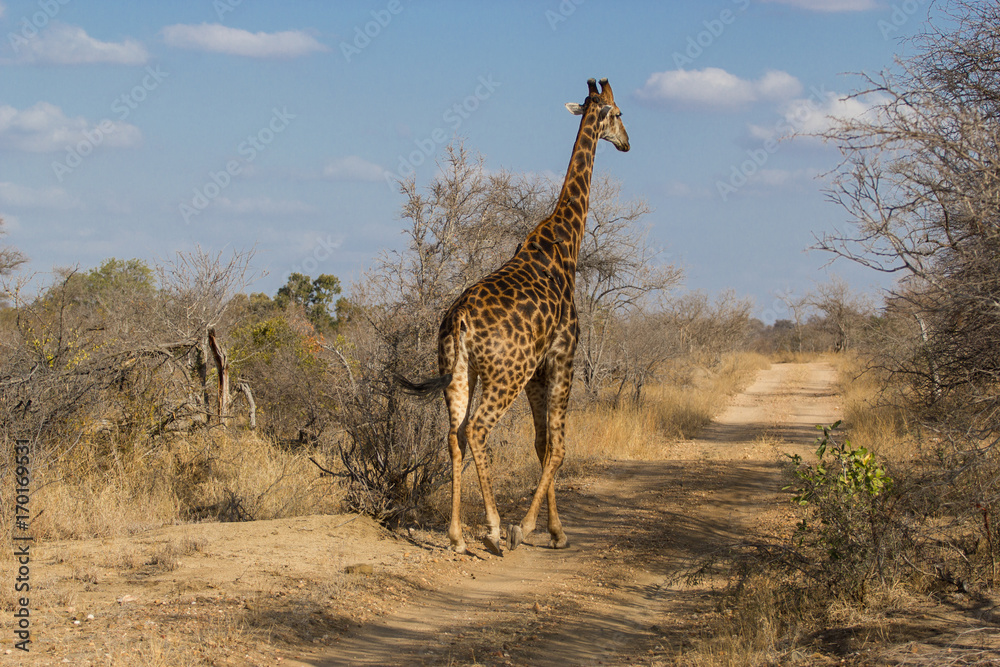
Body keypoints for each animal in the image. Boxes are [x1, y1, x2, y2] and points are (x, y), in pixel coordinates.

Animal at [398, 78, 629, 556]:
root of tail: (460, 320)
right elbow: (557, 447)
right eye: (618, 114)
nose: (627, 143)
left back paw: (456, 536)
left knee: (454, 436)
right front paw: (528, 527)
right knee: (477, 431)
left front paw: (555, 530)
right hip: (507, 374)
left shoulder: (539, 370)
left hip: (460, 370)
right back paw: (492, 529)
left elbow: (541, 444)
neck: (566, 242)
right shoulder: (562, 357)